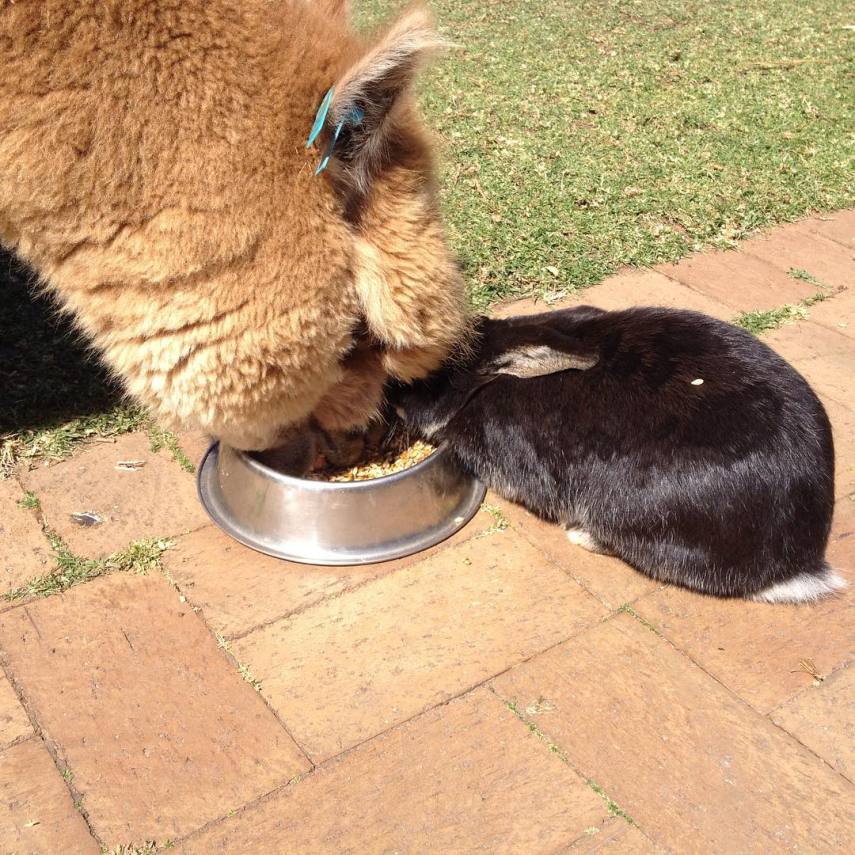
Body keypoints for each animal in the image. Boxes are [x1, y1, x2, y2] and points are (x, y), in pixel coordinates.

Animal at [392, 308, 844, 600]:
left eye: (422, 379)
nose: (392, 395)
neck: (482, 385)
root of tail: (795, 564)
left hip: (628, 507)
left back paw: (580, 535)